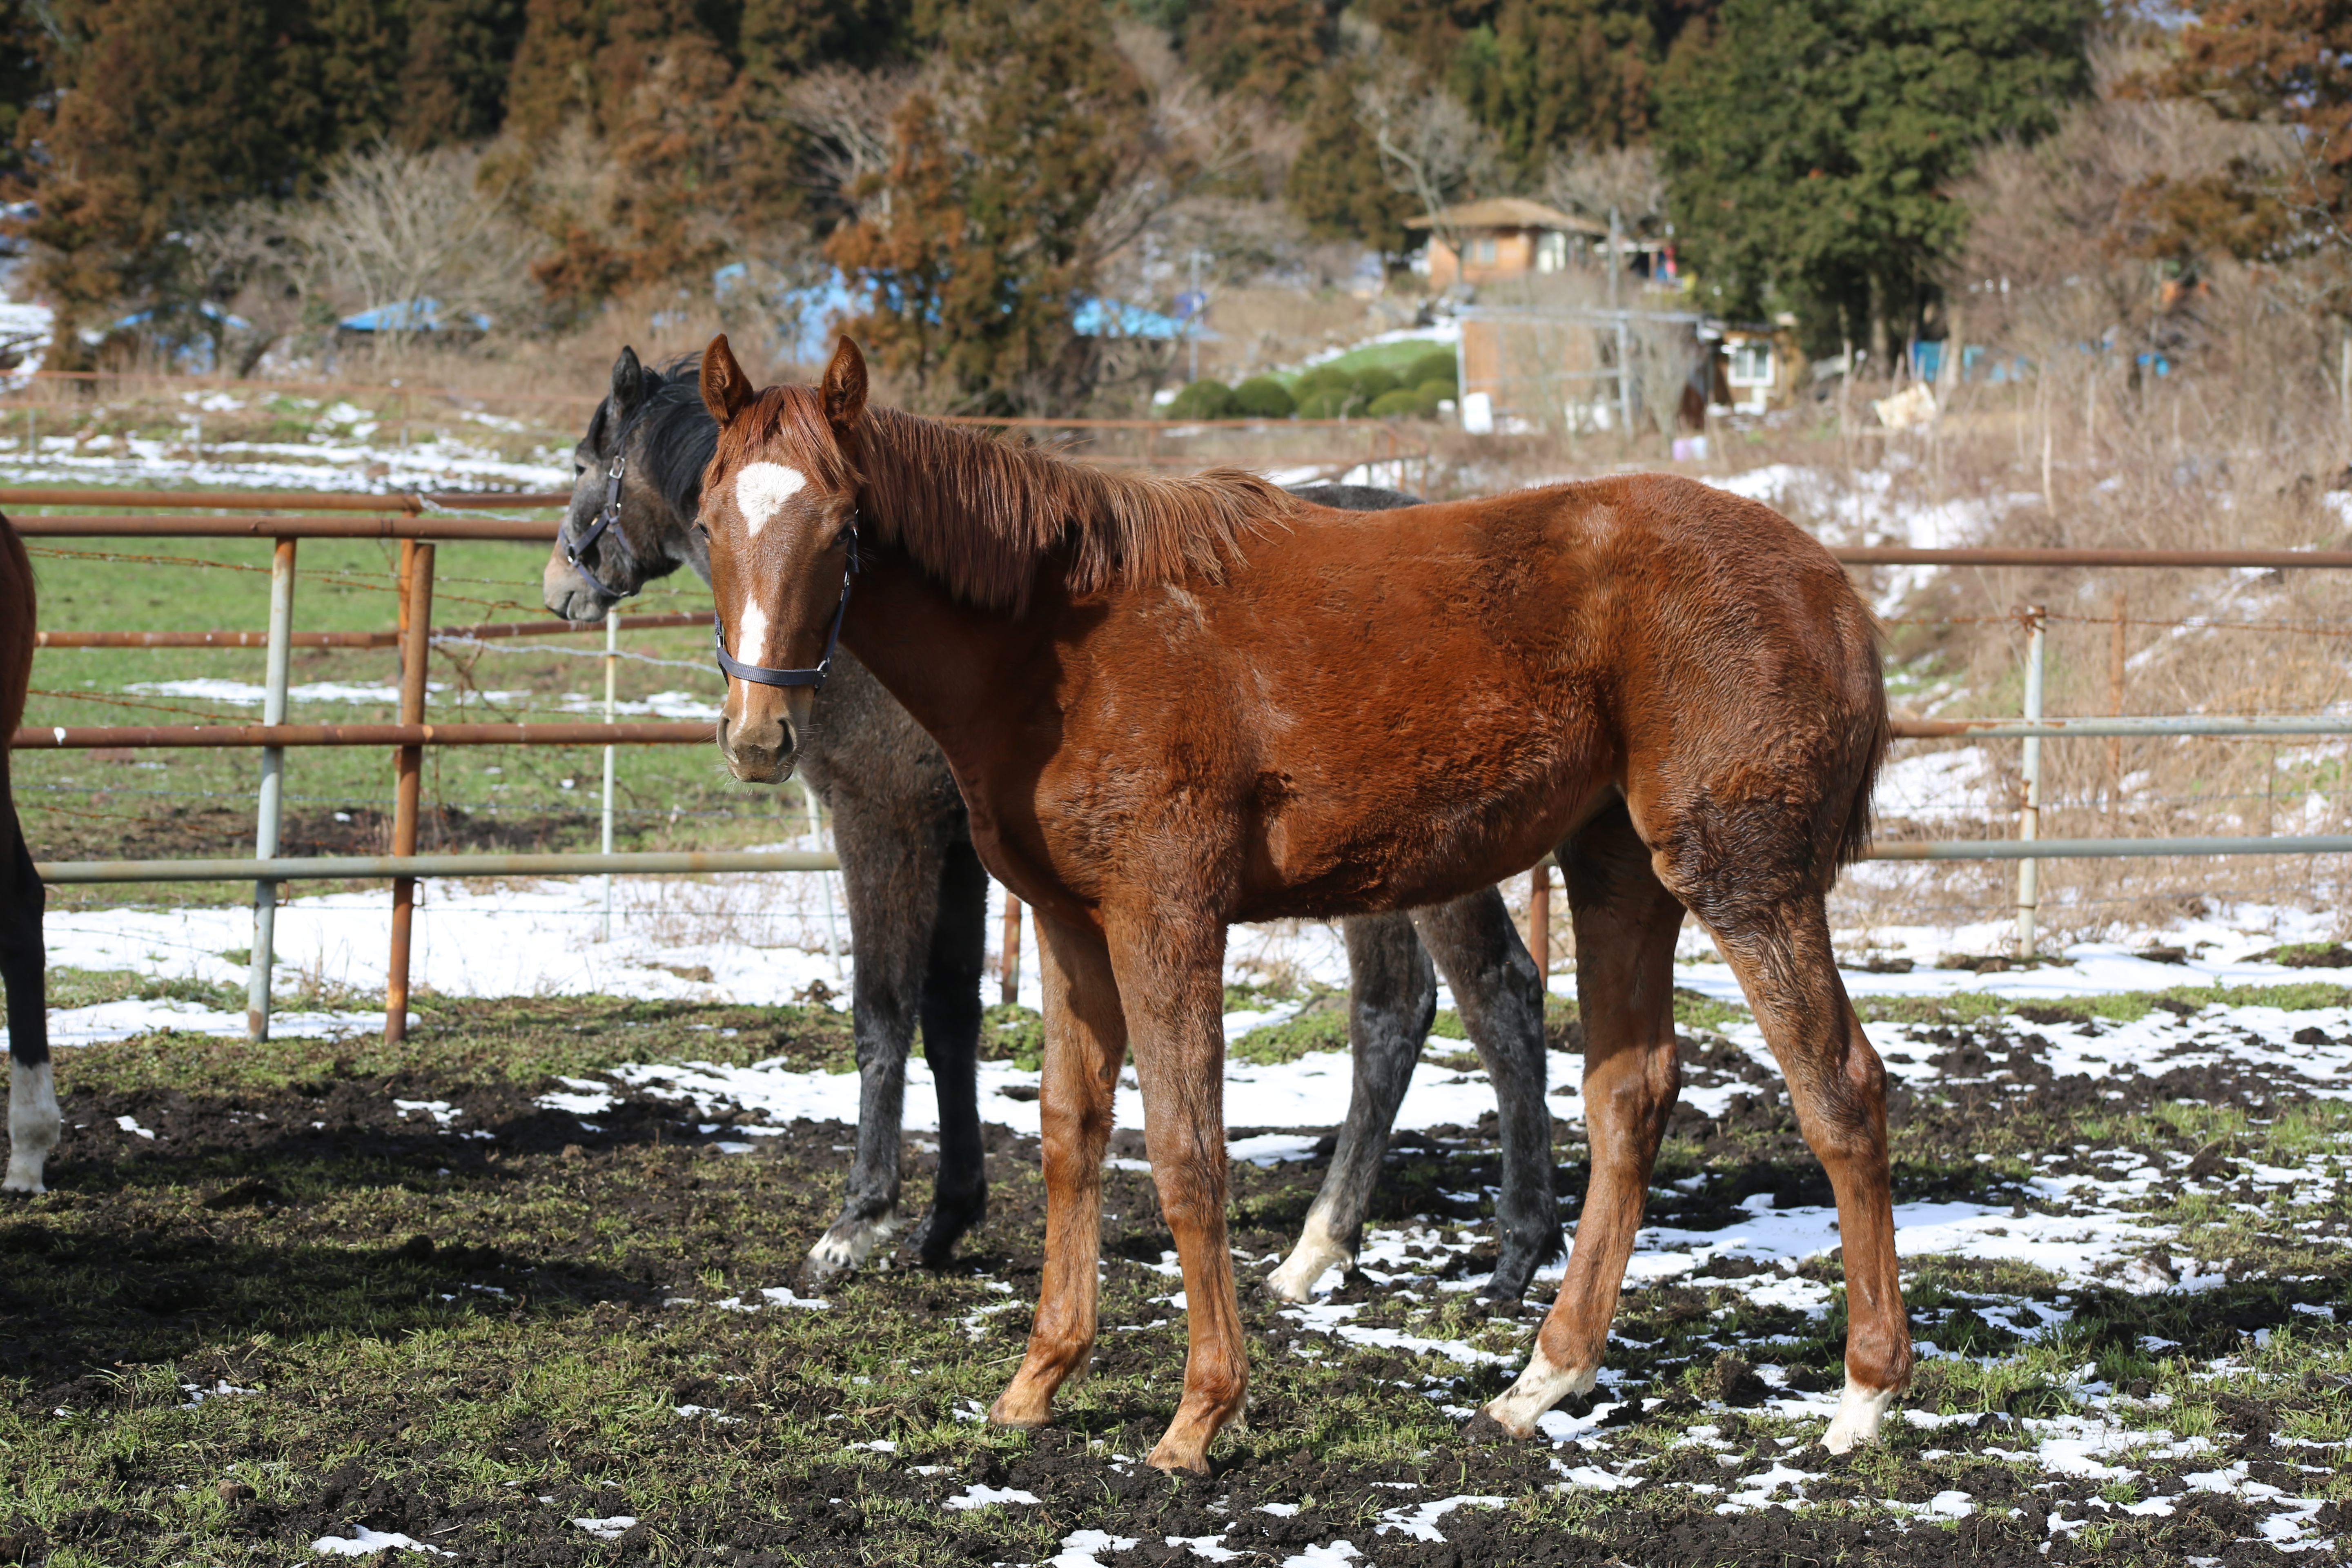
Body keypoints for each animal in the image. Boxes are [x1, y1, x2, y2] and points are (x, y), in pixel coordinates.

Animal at [536, 352, 1561, 1297]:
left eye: (587, 462)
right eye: (712, 520)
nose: (558, 586)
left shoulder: (882, 820)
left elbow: (880, 1010)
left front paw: (857, 1221)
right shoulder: (959, 844)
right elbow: (950, 1016)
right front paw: (946, 1218)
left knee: (1489, 994)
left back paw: (1512, 1252)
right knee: (1396, 1011)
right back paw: (1327, 1246)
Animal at [691, 339, 1891, 1476]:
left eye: (842, 526)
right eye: (708, 524)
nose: (757, 738)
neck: (1057, 644)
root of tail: (1831, 587)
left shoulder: (1164, 915)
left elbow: (1186, 1153)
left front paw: (1197, 1415)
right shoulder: (1072, 927)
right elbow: (1072, 1140)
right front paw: (1037, 1383)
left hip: (1742, 878)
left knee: (1838, 1089)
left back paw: (1863, 1398)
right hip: (1617, 874)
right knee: (1627, 1099)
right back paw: (1538, 1383)